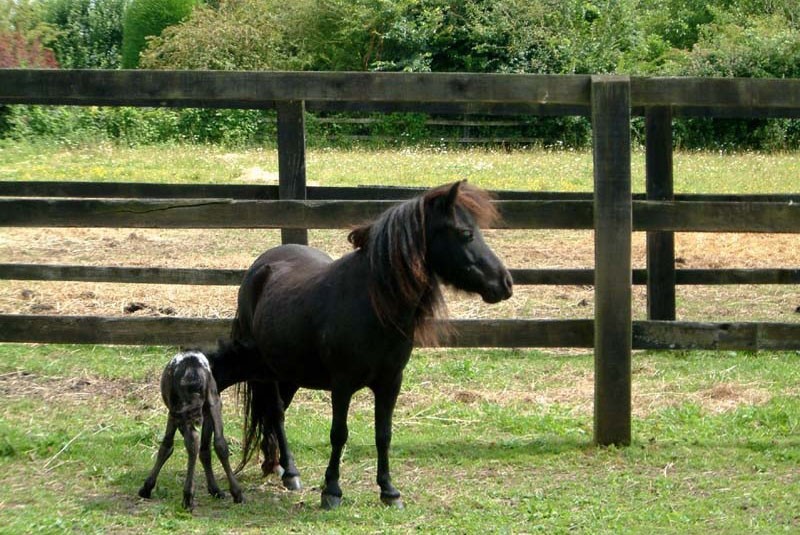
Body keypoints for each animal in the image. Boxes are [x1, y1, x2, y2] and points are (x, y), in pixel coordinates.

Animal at [138, 352, 244, 510]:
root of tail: (193, 368)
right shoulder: (207, 410)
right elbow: (206, 450)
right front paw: (215, 489)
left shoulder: (173, 413)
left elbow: (166, 446)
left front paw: (147, 487)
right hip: (213, 401)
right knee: (220, 443)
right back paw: (237, 493)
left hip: (180, 410)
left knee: (192, 441)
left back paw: (188, 497)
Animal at [212, 181, 512, 510]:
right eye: (465, 234)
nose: (504, 283)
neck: (373, 305)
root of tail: (260, 267)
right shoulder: (342, 385)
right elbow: (339, 434)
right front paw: (331, 490)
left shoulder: (390, 382)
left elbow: (383, 435)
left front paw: (389, 491)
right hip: (267, 371)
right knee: (276, 413)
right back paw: (289, 471)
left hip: (288, 372)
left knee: (274, 414)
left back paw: (277, 466)